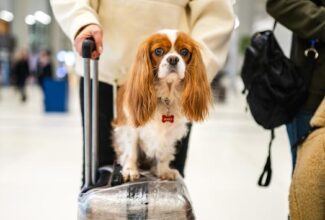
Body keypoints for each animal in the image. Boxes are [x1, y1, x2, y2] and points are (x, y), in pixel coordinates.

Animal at [112, 30, 211, 181]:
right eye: (158, 51)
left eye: (184, 51)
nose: (173, 59)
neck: (165, 96)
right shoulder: (130, 127)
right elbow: (131, 151)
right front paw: (130, 170)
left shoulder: (170, 132)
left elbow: (164, 153)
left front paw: (163, 171)